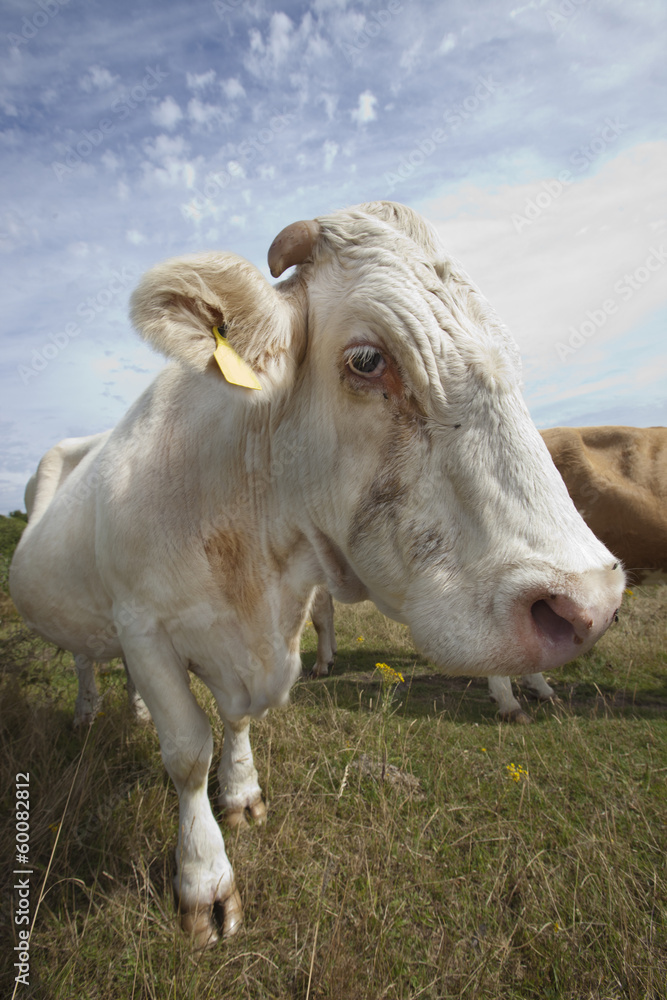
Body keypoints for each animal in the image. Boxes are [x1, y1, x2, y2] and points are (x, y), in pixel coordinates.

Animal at [10, 201, 628, 944]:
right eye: (366, 359)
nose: (590, 601)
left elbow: (236, 722)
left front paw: (242, 793)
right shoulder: (143, 624)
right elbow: (186, 751)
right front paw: (204, 881)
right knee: (82, 659)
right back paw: (85, 713)